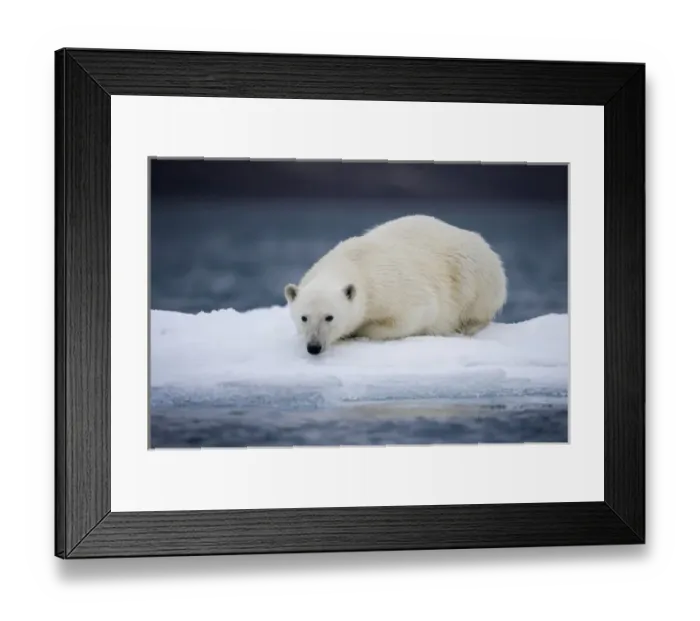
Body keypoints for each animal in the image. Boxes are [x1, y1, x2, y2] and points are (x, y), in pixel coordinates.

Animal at [283, 214, 507, 355]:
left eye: (329, 317)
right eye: (304, 317)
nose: (314, 347)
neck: (353, 263)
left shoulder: (391, 287)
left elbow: (413, 316)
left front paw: (358, 330)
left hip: (475, 272)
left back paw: (467, 326)